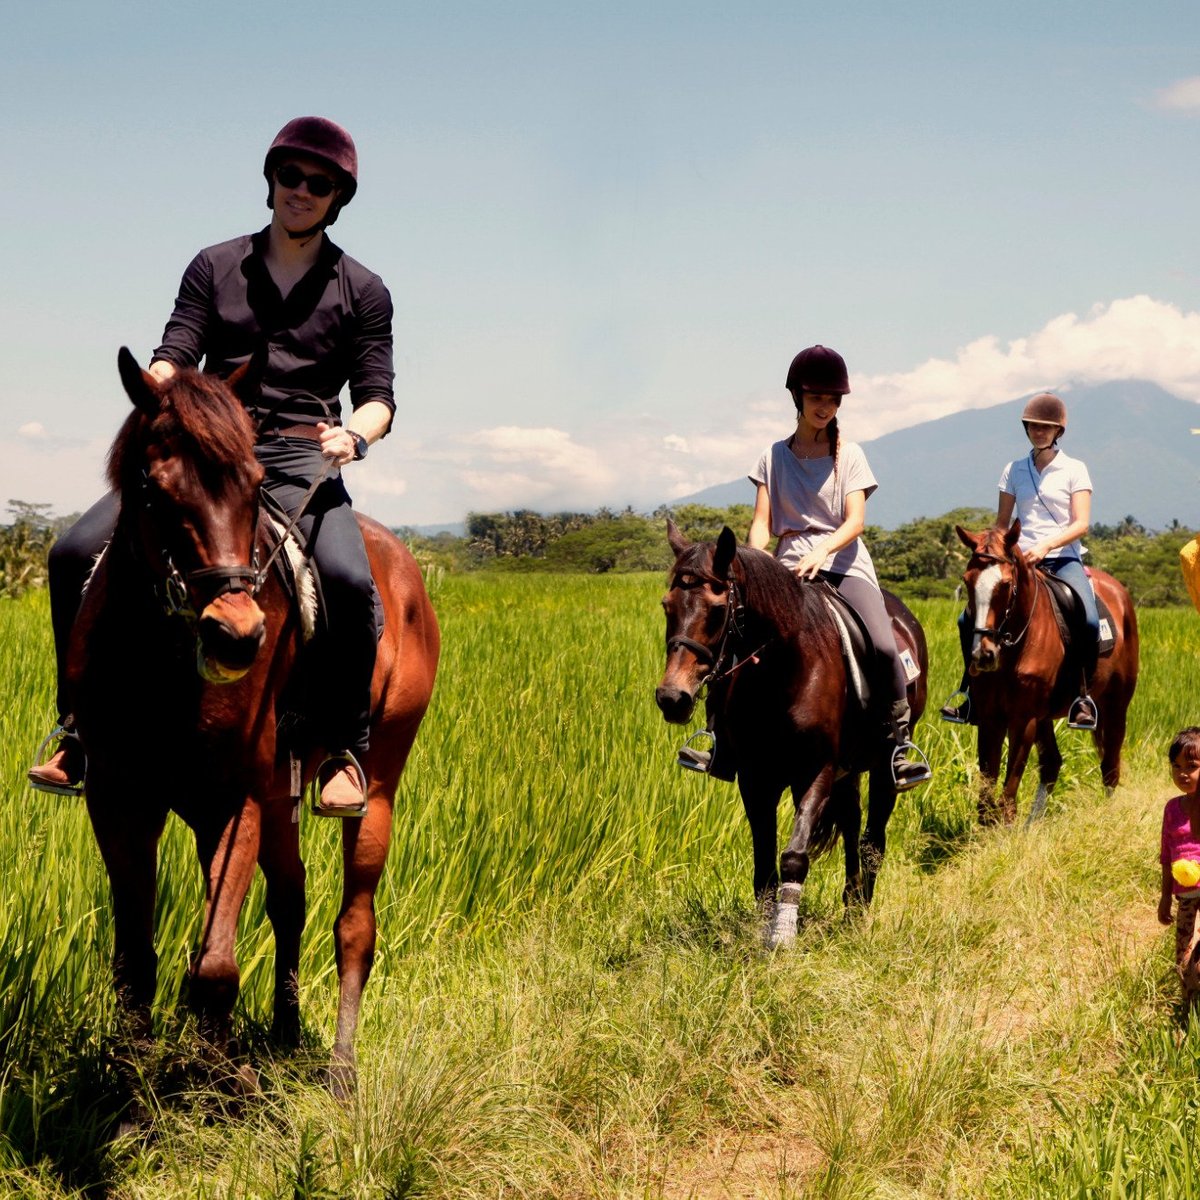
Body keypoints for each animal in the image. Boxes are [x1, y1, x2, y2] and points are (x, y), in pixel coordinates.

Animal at [66, 350, 441, 1099]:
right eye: (152, 487)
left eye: (256, 482)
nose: (238, 636)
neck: (164, 664)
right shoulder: (119, 799)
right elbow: (136, 960)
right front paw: (133, 1089)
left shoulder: (231, 800)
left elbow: (214, 966)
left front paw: (216, 1088)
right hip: (278, 795)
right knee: (291, 902)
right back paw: (285, 1034)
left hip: (377, 784)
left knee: (354, 924)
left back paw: (340, 1071)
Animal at [657, 523, 926, 945]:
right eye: (668, 605)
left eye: (717, 609)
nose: (672, 698)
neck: (783, 671)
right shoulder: (756, 778)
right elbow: (764, 866)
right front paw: (761, 932)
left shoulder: (817, 771)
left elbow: (795, 856)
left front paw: (782, 938)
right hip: (845, 772)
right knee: (852, 826)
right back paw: (850, 902)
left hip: (882, 764)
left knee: (873, 839)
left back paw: (858, 914)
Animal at [955, 523, 1132, 825]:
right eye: (967, 581)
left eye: (1005, 584)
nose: (983, 655)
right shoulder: (991, 716)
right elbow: (986, 795)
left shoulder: (1024, 719)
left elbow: (1008, 792)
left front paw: (1006, 833)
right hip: (1045, 716)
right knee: (1052, 764)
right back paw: (1032, 826)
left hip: (1116, 706)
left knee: (1110, 767)